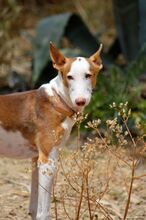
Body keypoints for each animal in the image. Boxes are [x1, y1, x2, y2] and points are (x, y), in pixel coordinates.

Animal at [0, 42, 102, 219]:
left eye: (88, 75)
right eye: (69, 76)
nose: (80, 101)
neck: (57, 100)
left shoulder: (36, 159)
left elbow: (34, 209)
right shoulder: (48, 163)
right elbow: (43, 212)